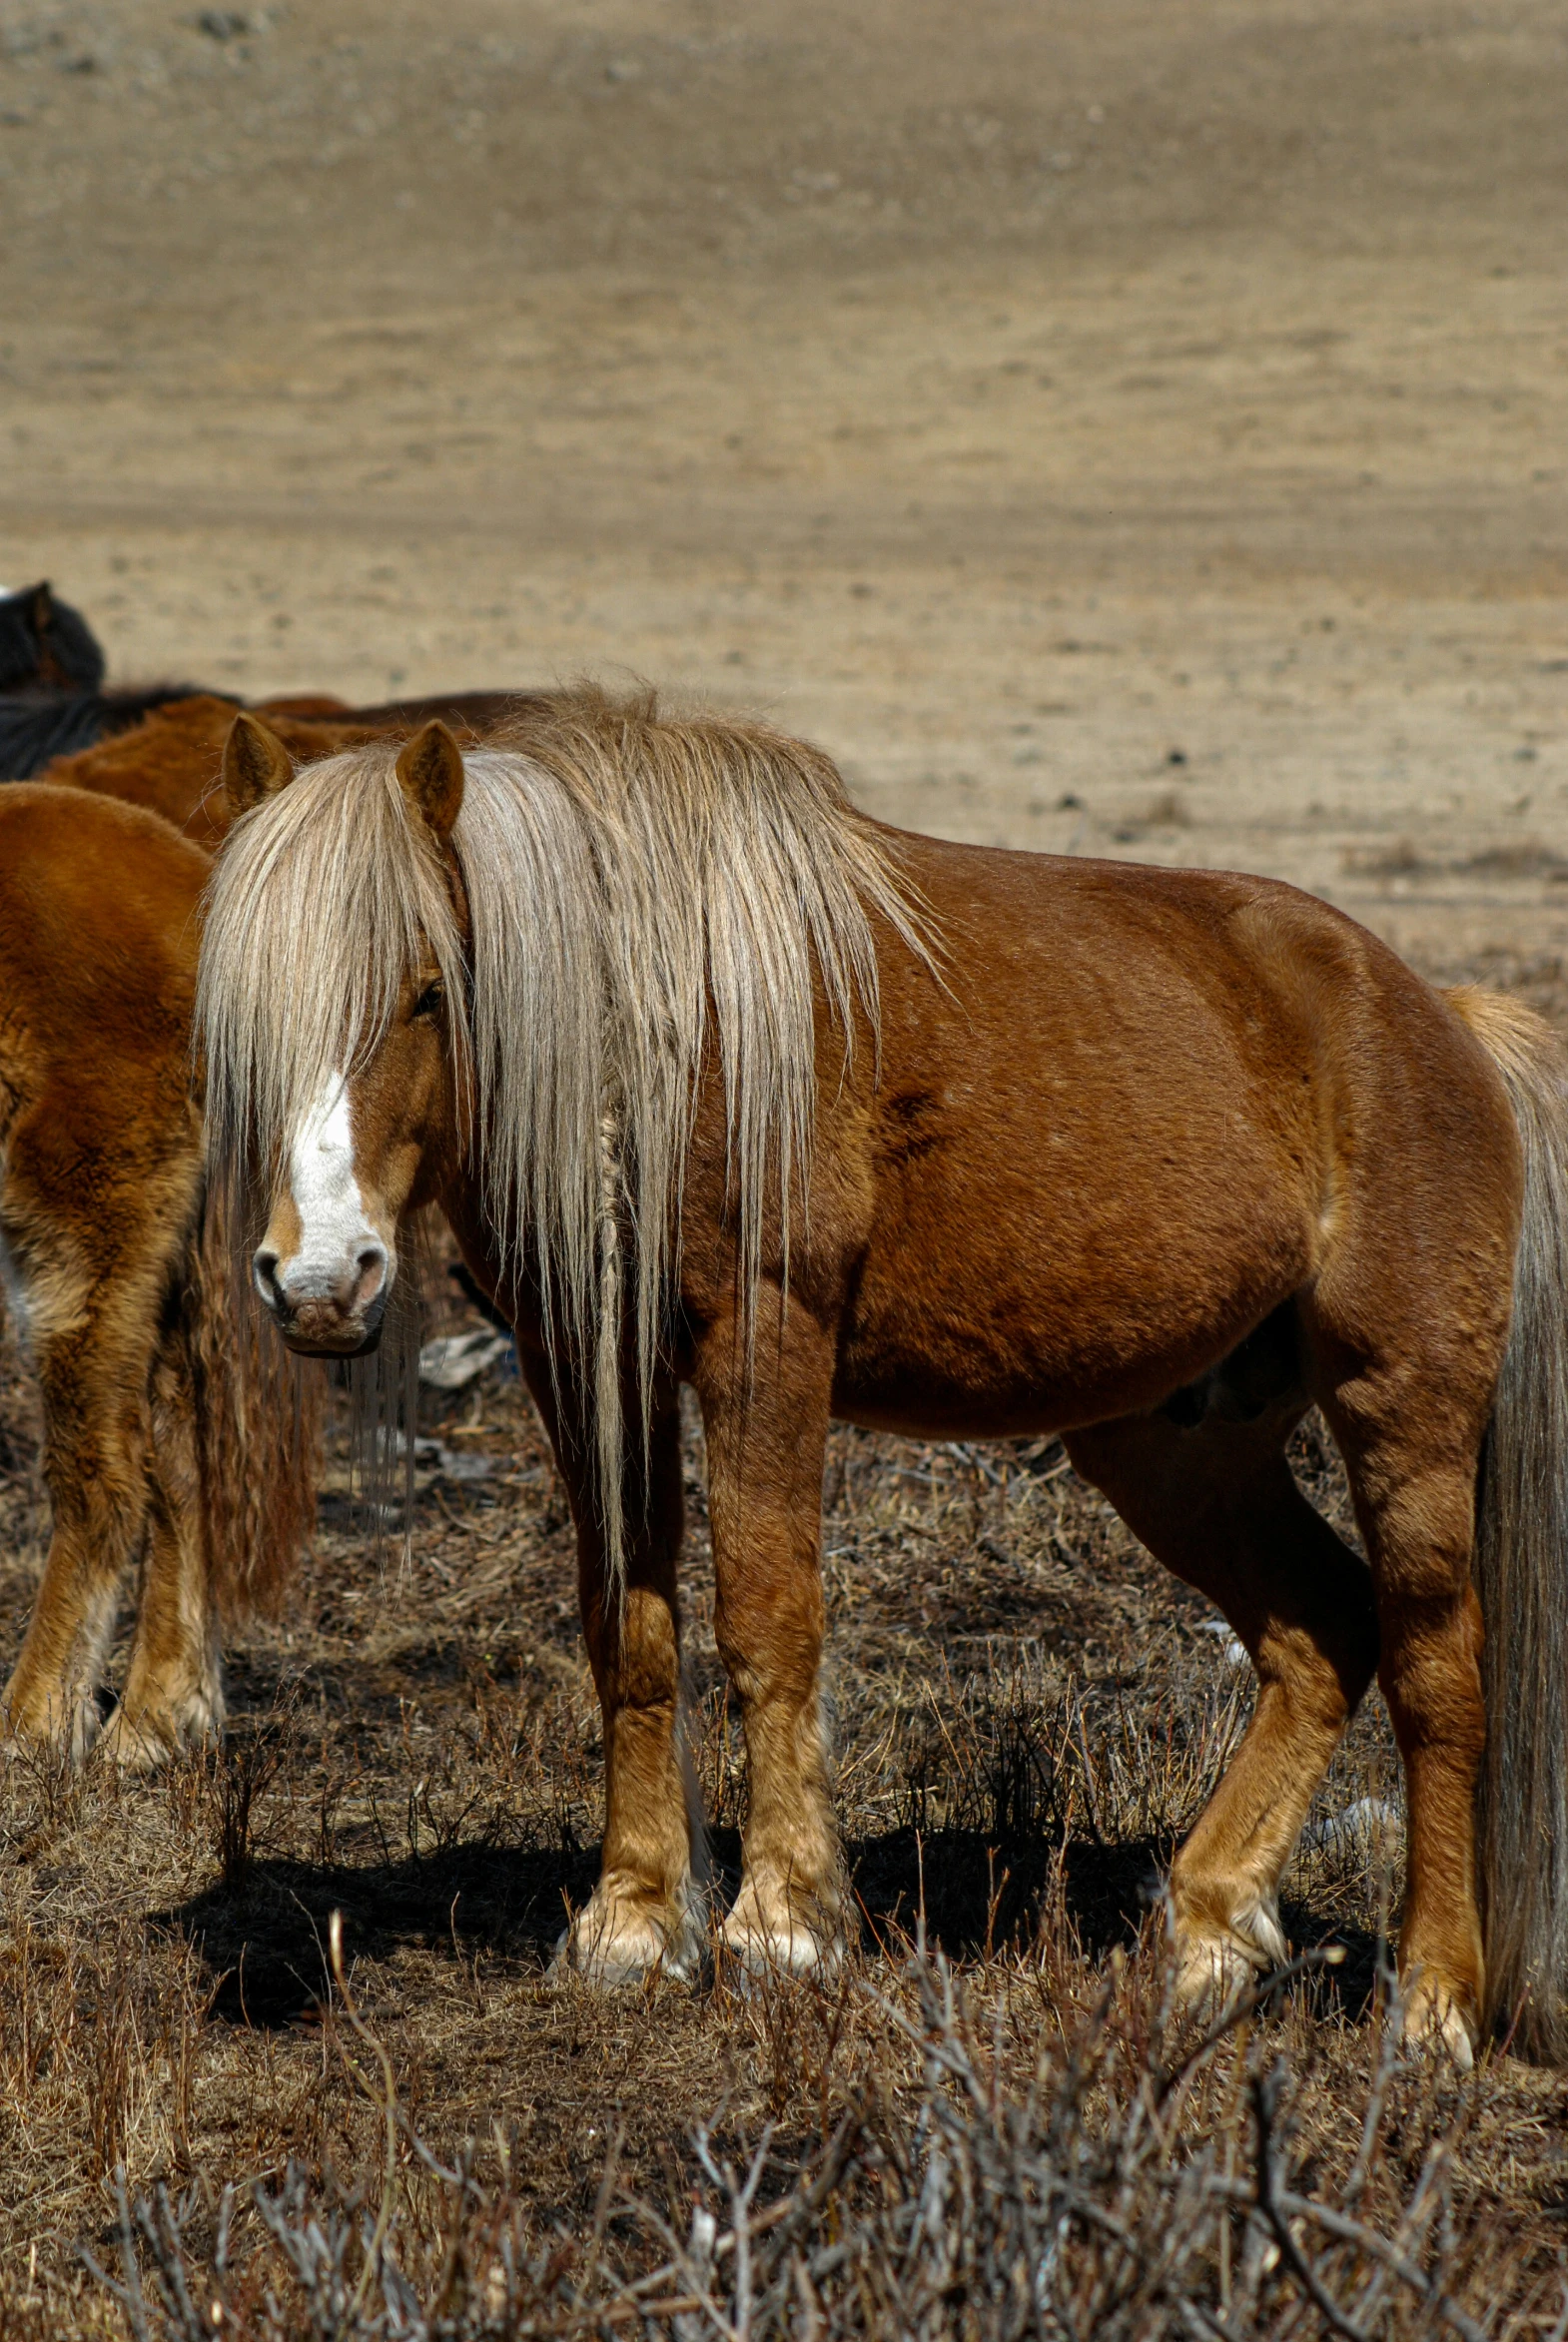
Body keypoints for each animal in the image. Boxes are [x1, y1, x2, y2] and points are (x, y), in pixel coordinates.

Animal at [193, 697, 1568, 2069]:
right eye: (242, 1017)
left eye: (428, 990)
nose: (320, 1278)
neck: (668, 1030)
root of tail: (1438, 1012)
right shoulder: (582, 1362)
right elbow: (627, 1630)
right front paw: (634, 1923)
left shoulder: (765, 1340)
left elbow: (765, 1617)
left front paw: (782, 1925)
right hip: (1171, 1443)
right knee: (1320, 1629)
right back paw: (1211, 1934)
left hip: (1400, 1405)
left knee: (1435, 1670)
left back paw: (1432, 2004)